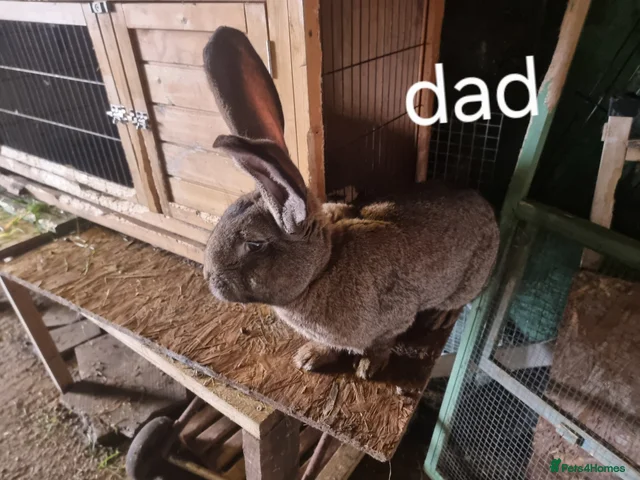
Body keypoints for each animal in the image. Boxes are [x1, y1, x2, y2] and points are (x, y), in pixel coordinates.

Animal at [201, 27, 500, 379]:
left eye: (255, 244)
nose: (209, 277)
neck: (324, 266)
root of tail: (483, 203)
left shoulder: (395, 318)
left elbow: (383, 343)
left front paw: (368, 368)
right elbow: (329, 346)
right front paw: (309, 358)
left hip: (470, 279)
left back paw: (440, 317)